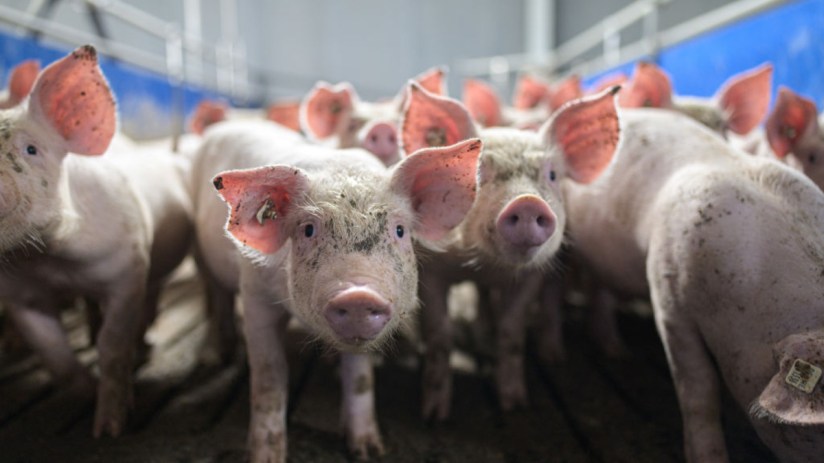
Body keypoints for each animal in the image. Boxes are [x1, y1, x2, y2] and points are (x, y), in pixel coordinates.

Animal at [0, 45, 193, 436]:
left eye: (31, 149)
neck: (50, 261)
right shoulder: (20, 295)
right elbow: (55, 356)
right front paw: (88, 393)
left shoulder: (128, 268)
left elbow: (113, 345)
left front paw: (110, 430)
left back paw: (144, 343)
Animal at [189, 117, 481, 462]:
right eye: (308, 230)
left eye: (399, 230)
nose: (358, 295)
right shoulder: (254, 293)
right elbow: (269, 376)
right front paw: (266, 456)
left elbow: (360, 377)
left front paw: (369, 450)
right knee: (216, 296)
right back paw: (214, 356)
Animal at [400, 82, 620, 418]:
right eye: (479, 173)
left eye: (552, 175)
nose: (527, 202)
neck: (487, 265)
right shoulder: (433, 271)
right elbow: (439, 335)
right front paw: (434, 414)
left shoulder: (531, 277)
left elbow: (511, 332)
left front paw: (515, 405)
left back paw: (550, 354)